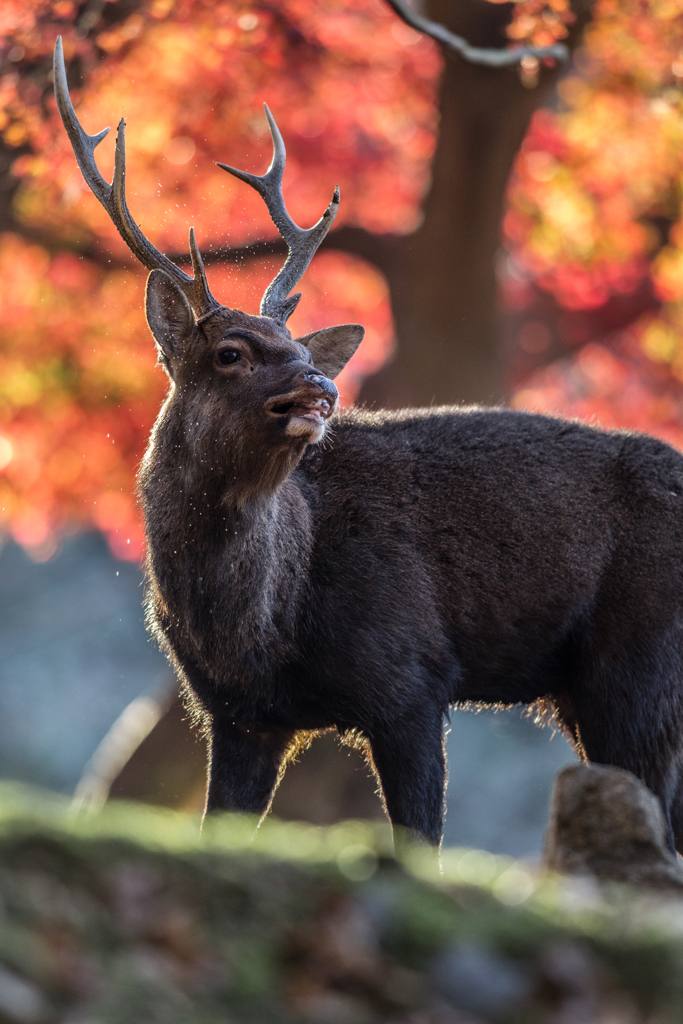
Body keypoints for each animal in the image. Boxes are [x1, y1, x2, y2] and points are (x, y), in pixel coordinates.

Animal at [54, 37, 683, 856]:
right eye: (230, 352)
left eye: (298, 345)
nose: (320, 385)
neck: (260, 625)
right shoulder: (239, 715)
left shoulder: (409, 676)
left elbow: (420, 842)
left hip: (640, 663)